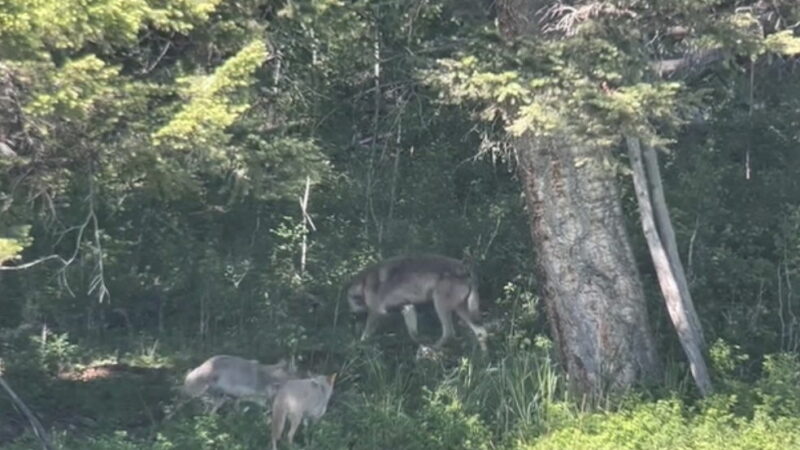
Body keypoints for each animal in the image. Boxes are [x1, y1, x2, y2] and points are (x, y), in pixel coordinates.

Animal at [346, 255, 488, 350]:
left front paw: (360, 343)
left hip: (440, 304)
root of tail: (466, 270)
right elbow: (413, 333)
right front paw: (420, 340)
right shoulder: (407, 308)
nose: (353, 321)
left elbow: (366, 333)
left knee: (449, 332)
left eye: (353, 307)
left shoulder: (376, 312)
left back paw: (434, 348)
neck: (363, 284)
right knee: (481, 331)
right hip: (460, 309)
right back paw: (483, 358)